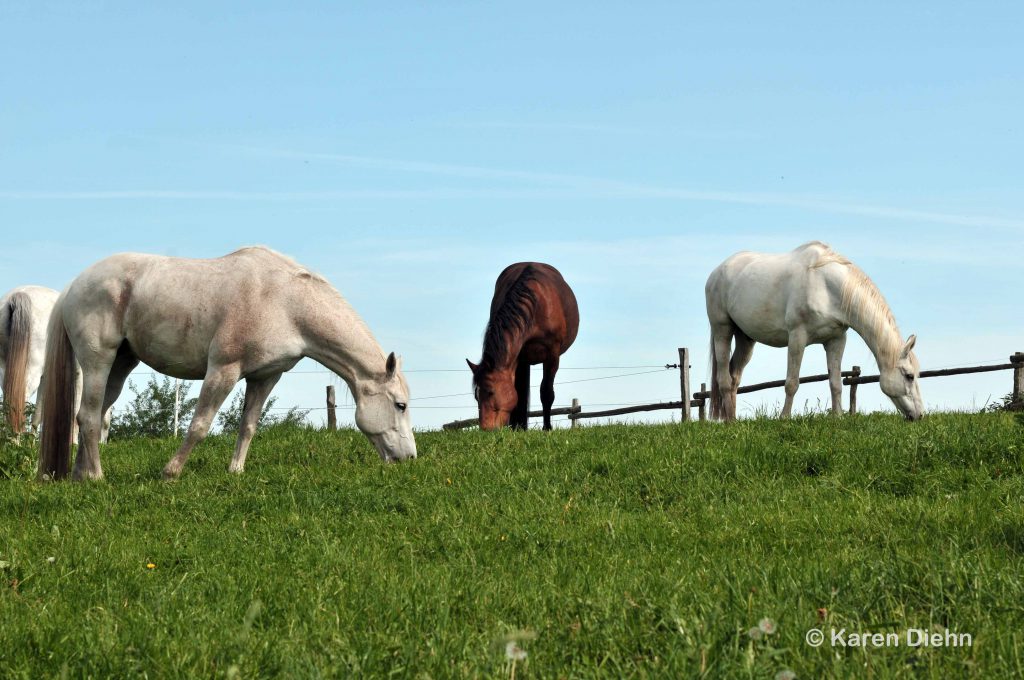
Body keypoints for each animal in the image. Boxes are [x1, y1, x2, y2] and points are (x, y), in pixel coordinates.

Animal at [38, 246, 415, 481]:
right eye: (400, 405)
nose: (409, 458)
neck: (286, 303)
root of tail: (75, 285)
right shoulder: (223, 370)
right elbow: (199, 425)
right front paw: (171, 472)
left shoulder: (265, 377)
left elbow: (248, 426)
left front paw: (236, 471)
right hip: (98, 360)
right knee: (88, 416)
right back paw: (97, 477)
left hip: (121, 364)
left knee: (95, 414)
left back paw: (80, 475)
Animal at [466, 261, 577, 430]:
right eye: (476, 396)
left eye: (491, 392)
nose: (485, 429)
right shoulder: (518, 357)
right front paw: (517, 428)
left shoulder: (552, 355)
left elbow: (546, 392)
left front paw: (547, 428)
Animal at [708, 238, 925, 419]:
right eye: (909, 376)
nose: (920, 415)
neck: (827, 287)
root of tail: (717, 271)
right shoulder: (797, 337)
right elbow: (792, 383)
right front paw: (784, 418)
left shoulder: (836, 340)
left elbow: (836, 383)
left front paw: (838, 417)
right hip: (722, 330)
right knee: (724, 380)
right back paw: (730, 423)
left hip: (745, 339)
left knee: (734, 378)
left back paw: (732, 419)